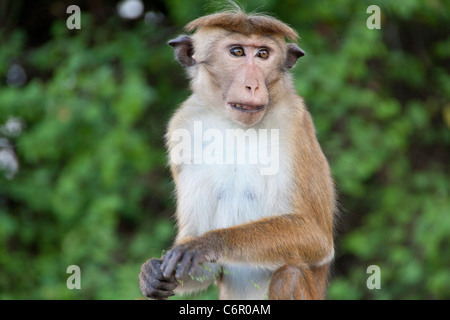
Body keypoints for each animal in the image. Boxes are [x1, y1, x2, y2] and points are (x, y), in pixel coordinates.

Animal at [139, 8, 336, 302]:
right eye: (237, 52)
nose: (252, 86)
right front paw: (152, 272)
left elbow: (315, 236)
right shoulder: (182, 126)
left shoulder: (294, 122)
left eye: (263, 54)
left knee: (289, 275)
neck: (236, 126)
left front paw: (208, 242)